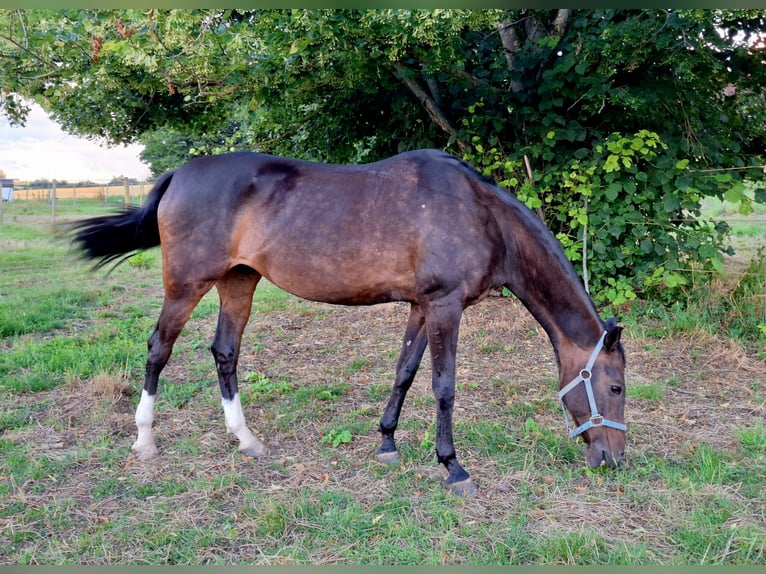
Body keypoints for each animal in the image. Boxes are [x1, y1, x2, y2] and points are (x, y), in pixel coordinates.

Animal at [70, 151, 632, 498]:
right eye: (617, 387)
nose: (613, 460)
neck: (479, 212)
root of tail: (178, 175)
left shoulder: (421, 307)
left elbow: (405, 372)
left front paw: (387, 443)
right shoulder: (445, 306)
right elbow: (443, 386)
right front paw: (452, 467)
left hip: (238, 282)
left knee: (225, 351)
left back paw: (246, 440)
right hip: (186, 285)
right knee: (158, 349)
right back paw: (145, 441)